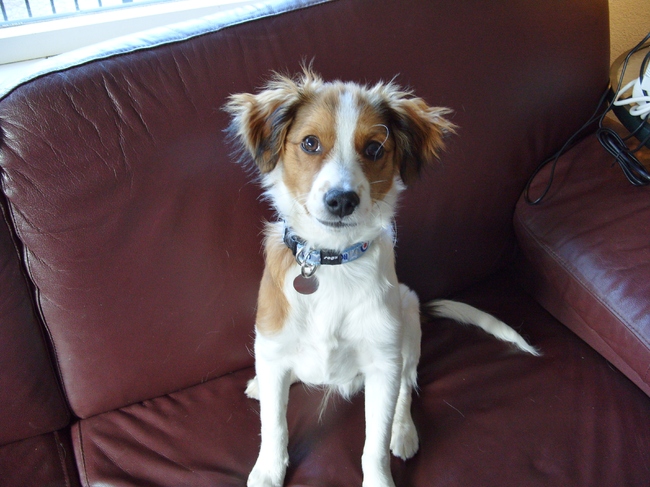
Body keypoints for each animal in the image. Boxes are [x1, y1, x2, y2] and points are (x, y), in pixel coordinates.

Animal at [224, 67, 539, 487]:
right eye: (309, 143)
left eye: (374, 149)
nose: (342, 200)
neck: (332, 260)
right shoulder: (272, 342)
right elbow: (273, 424)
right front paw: (269, 471)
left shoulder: (383, 364)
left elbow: (374, 442)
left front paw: (381, 473)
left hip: (406, 319)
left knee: (407, 387)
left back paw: (404, 432)